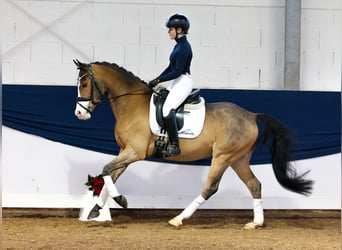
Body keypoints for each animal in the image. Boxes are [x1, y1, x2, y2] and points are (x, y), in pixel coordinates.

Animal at [73, 60, 314, 229]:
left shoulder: (135, 152)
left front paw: (120, 200)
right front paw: (96, 210)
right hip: (239, 159)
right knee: (254, 185)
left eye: (84, 84)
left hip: (223, 157)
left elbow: (106, 170)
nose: (79, 114)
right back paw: (256, 223)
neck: (131, 104)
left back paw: (179, 218)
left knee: (210, 188)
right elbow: (109, 175)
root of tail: (251, 115)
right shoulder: (125, 151)